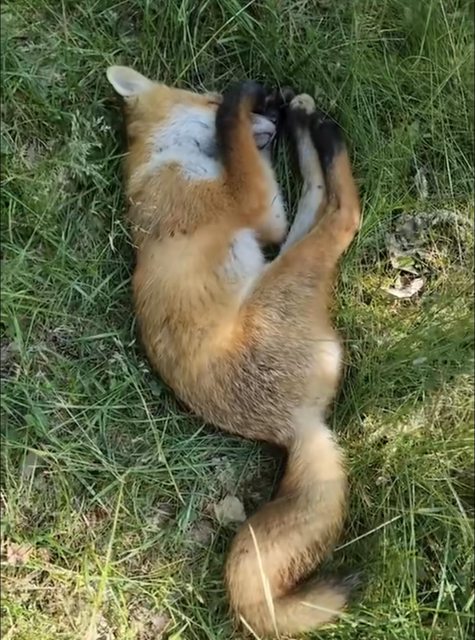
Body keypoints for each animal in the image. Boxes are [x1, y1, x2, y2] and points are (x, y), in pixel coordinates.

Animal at [106, 65, 360, 637]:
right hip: (287, 274)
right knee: (342, 214)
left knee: (318, 202)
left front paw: (284, 113)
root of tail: (297, 426)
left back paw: (311, 125)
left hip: (283, 260)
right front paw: (242, 103)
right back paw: (326, 135)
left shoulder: (265, 215)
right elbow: (240, 149)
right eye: (206, 95)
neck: (162, 163)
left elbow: (271, 178)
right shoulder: (252, 207)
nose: (273, 114)